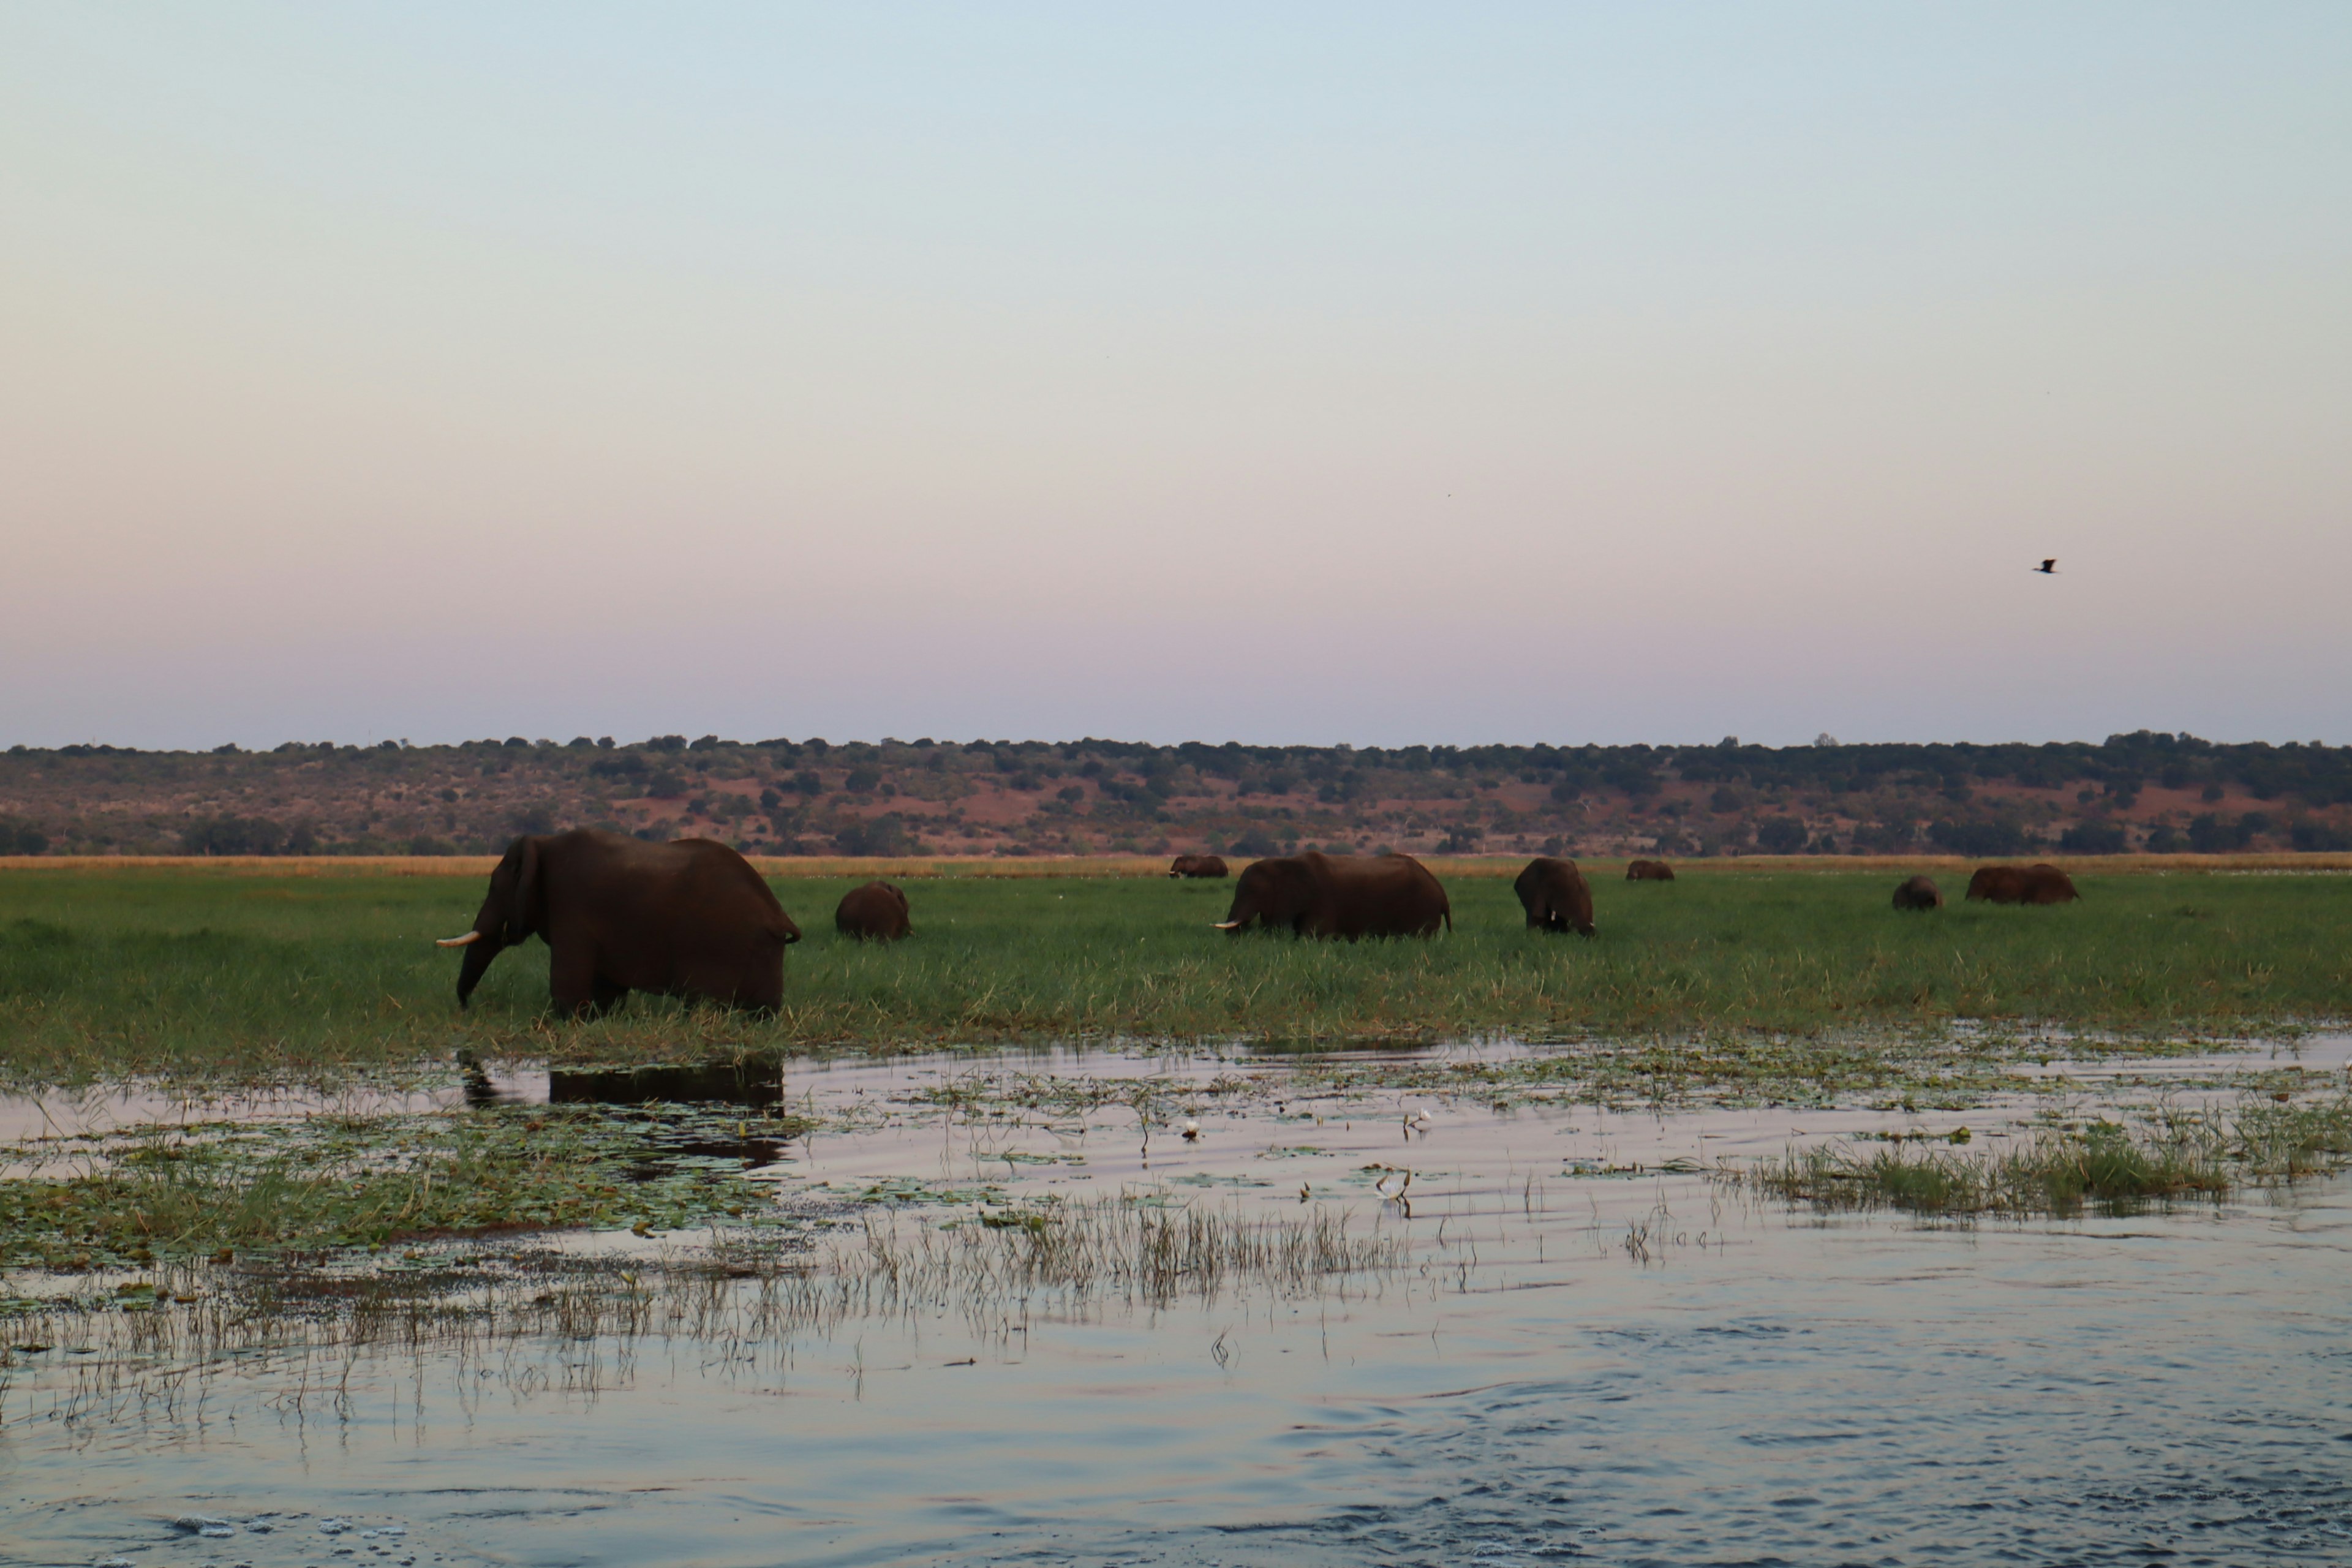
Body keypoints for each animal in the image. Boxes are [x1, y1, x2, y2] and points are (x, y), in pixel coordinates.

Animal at [437, 827, 804, 1025]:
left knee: (704, 1004)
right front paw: (600, 1019)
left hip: (720, 945)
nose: (466, 1008)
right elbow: (607, 987)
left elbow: (568, 982)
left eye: (495, 887)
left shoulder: (571, 906)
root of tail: (778, 914)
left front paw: (571, 1021)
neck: (543, 842)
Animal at [1213, 851, 1449, 940]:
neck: (1285, 862)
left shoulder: (1321, 900)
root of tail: (1440, 890)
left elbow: (1313, 935)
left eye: (1253, 892)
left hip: (1423, 909)